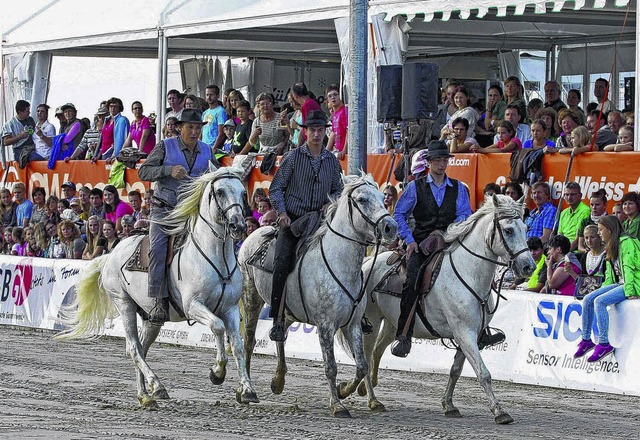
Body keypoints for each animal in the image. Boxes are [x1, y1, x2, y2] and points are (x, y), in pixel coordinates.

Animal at [56, 166, 258, 410]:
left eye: (242, 192)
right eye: (219, 191)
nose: (238, 225)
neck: (216, 256)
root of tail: (112, 254)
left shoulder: (230, 309)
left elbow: (237, 345)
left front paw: (246, 390)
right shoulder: (194, 306)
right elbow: (217, 327)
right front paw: (217, 372)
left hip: (151, 318)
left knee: (141, 348)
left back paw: (145, 394)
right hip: (124, 304)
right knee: (134, 348)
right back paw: (156, 386)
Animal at [238, 174, 398, 418]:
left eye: (383, 197)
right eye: (362, 199)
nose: (391, 227)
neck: (339, 264)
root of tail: (254, 234)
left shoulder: (353, 324)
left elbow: (362, 365)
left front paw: (343, 390)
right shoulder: (326, 325)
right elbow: (330, 366)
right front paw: (337, 404)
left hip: (288, 312)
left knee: (280, 337)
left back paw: (278, 380)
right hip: (251, 297)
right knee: (248, 341)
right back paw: (247, 391)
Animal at [344, 194, 536, 424]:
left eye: (525, 228)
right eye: (508, 230)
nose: (529, 267)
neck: (468, 272)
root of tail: (365, 263)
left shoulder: (471, 335)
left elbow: (455, 370)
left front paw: (449, 405)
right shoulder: (465, 333)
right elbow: (483, 373)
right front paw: (499, 411)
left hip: (392, 324)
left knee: (377, 352)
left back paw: (367, 389)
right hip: (371, 323)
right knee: (366, 354)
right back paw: (371, 399)